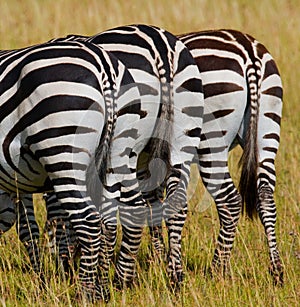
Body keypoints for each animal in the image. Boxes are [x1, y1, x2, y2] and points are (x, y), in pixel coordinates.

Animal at [146, 29, 284, 286]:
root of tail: (248, 52)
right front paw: (159, 258)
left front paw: (159, 261)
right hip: (267, 129)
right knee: (265, 197)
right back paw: (277, 271)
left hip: (211, 142)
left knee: (229, 201)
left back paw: (216, 270)